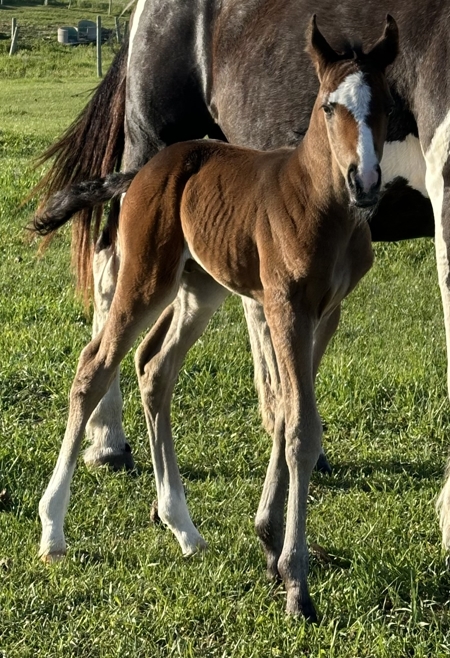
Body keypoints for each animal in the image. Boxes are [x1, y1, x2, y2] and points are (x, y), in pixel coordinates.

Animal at [34, 0, 450, 550]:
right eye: (327, 108)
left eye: (386, 106)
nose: (364, 182)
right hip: (151, 165)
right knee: (106, 299)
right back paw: (97, 462)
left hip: (202, 264)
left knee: (164, 355)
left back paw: (183, 511)